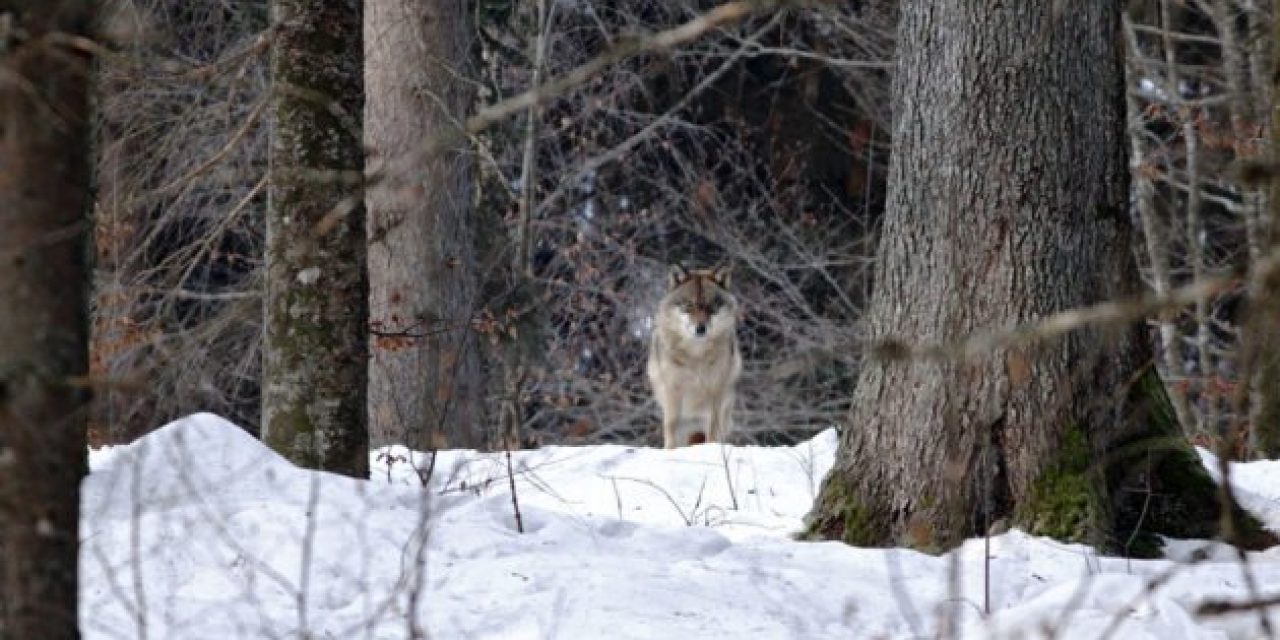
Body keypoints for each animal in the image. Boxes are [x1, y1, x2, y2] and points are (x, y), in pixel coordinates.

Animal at [650, 262, 742, 448]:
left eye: (710, 306)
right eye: (690, 305)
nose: (700, 328)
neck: (696, 354)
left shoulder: (715, 391)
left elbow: (713, 428)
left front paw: (712, 448)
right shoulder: (673, 391)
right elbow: (671, 426)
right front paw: (670, 450)